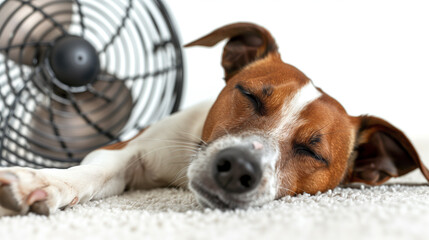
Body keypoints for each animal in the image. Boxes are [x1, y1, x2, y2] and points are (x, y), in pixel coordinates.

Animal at [0, 23, 428, 216]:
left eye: (313, 151)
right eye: (250, 95)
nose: (238, 166)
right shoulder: (128, 150)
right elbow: (92, 172)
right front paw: (44, 181)